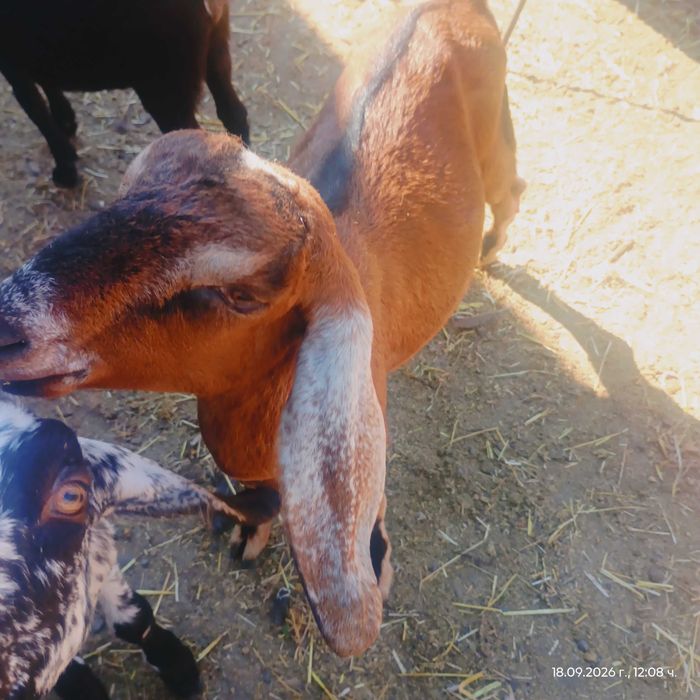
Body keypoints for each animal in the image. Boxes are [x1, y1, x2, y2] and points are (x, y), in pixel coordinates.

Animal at [0, 0, 249, 188]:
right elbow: (49, 86)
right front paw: (66, 122)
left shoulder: (13, 65)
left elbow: (39, 115)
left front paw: (66, 172)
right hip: (216, 49)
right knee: (233, 114)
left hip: (166, 87)